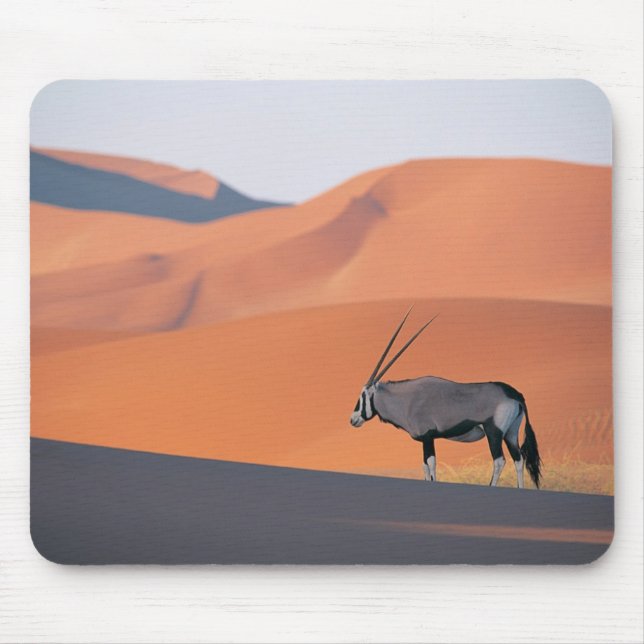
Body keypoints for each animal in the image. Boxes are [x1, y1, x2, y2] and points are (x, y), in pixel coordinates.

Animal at [350, 308, 542, 488]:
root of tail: (515, 394)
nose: (353, 419)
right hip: (510, 433)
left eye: (363, 395)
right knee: (519, 459)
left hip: (494, 432)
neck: (407, 399)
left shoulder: (428, 436)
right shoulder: (425, 440)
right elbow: (424, 466)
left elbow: (431, 464)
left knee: (499, 460)